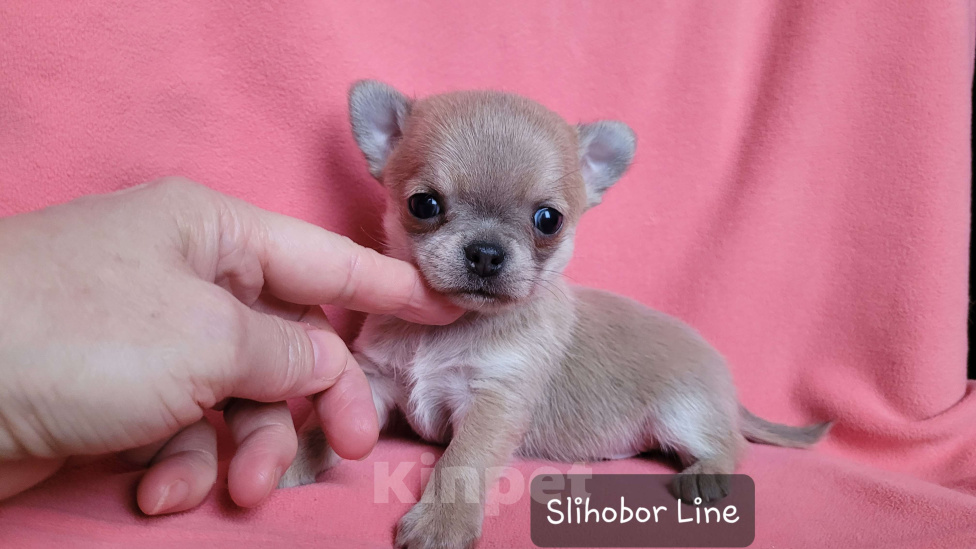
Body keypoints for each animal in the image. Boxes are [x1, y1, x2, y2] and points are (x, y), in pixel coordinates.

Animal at [280, 81, 832, 548]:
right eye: (424, 205)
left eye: (549, 220)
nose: (485, 252)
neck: (450, 326)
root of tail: (725, 385)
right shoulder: (374, 383)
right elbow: (323, 427)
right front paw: (293, 459)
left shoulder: (493, 403)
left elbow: (461, 463)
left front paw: (442, 522)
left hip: (684, 411)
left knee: (733, 444)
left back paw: (707, 473)